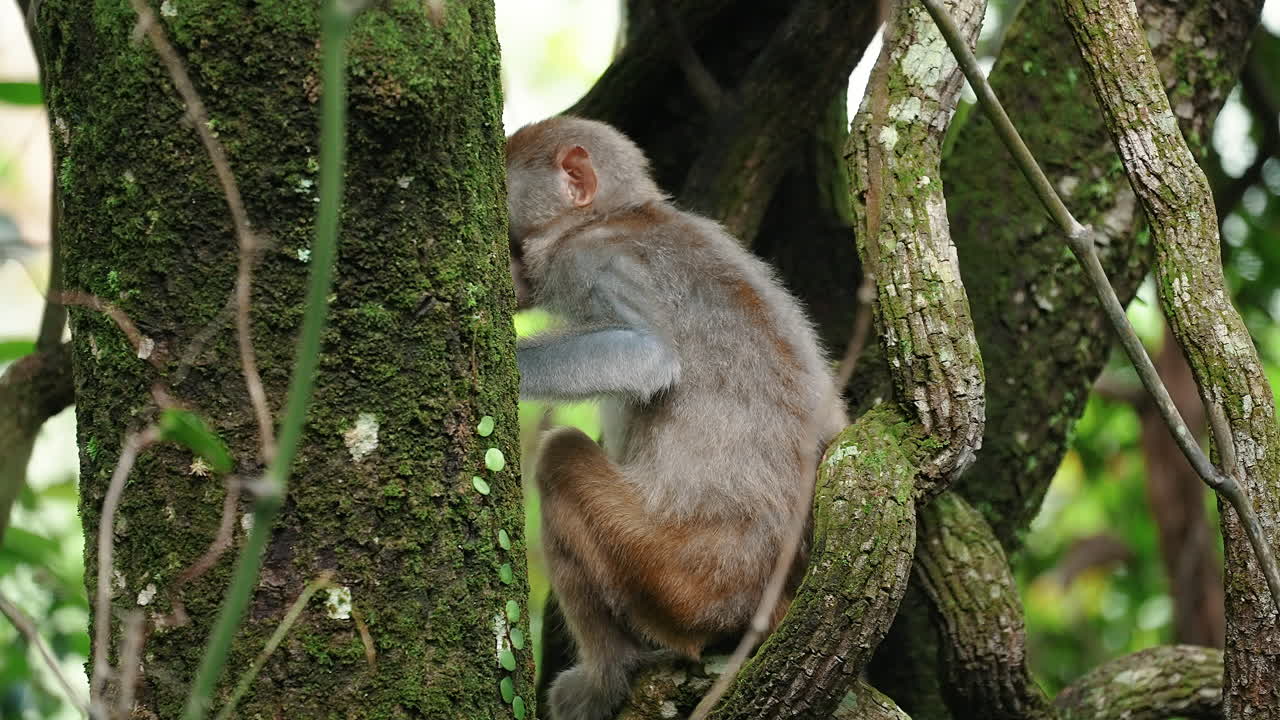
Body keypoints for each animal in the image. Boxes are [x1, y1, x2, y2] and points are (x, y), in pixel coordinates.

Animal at [506, 116, 847, 720]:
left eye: (513, 244)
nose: (508, 279)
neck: (618, 214)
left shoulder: (589, 262)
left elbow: (649, 354)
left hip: (673, 577)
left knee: (560, 457)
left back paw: (605, 676)